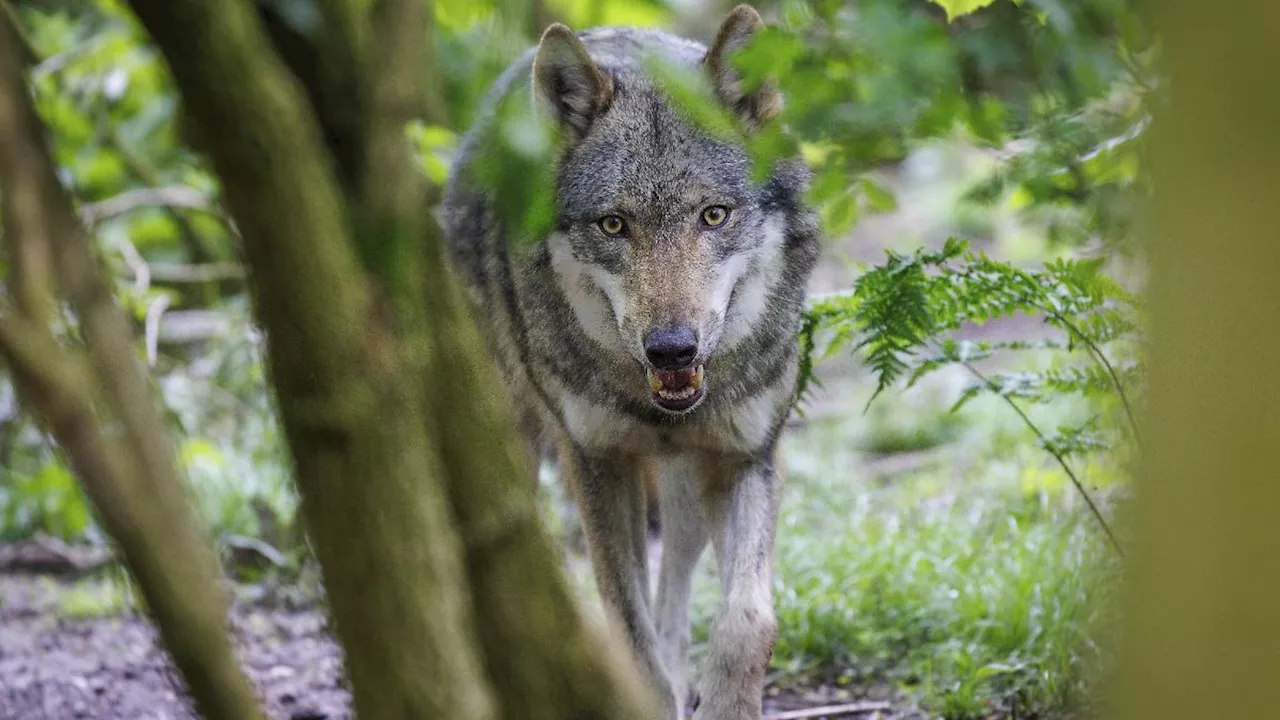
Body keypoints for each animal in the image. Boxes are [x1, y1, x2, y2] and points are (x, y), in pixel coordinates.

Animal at [440, 7, 819, 717]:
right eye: (614, 225)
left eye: (714, 215)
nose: (672, 347)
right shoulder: (597, 464)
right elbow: (629, 631)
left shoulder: (747, 456)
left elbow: (747, 620)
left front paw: (727, 703)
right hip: (513, 446)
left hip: (689, 484)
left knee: (677, 591)